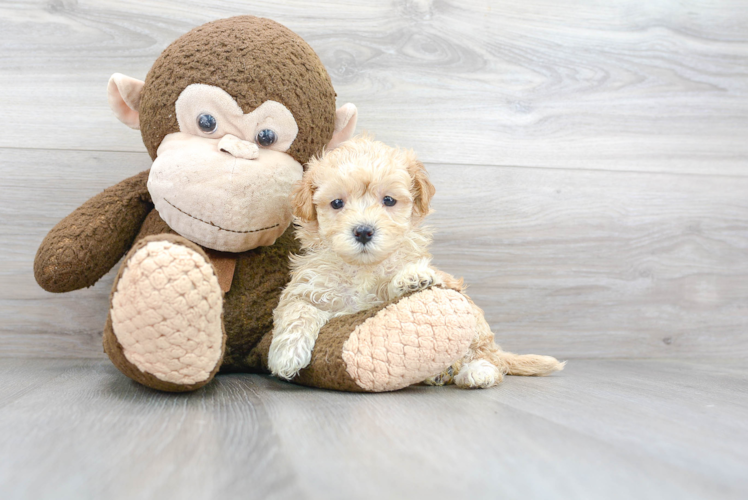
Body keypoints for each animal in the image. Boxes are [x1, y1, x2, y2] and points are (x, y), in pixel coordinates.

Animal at [266, 136, 564, 386]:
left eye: (388, 200)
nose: (363, 231)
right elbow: (297, 311)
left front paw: (411, 278)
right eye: (337, 203)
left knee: (486, 356)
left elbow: (392, 285)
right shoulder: (305, 288)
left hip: (475, 323)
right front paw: (286, 355)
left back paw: (477, 371)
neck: (362, 268)